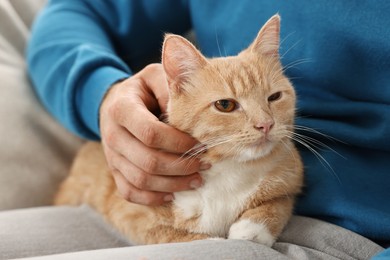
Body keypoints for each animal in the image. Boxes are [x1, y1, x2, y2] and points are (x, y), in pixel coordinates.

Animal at [55, 15, 304, 247]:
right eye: (225, 105)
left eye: (274, 97)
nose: (266, 124)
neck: (230, 170)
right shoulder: (129, 213)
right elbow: (165, 234)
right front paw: (209, 241)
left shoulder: (291, 177)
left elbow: (279, 203)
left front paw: (251, 229)